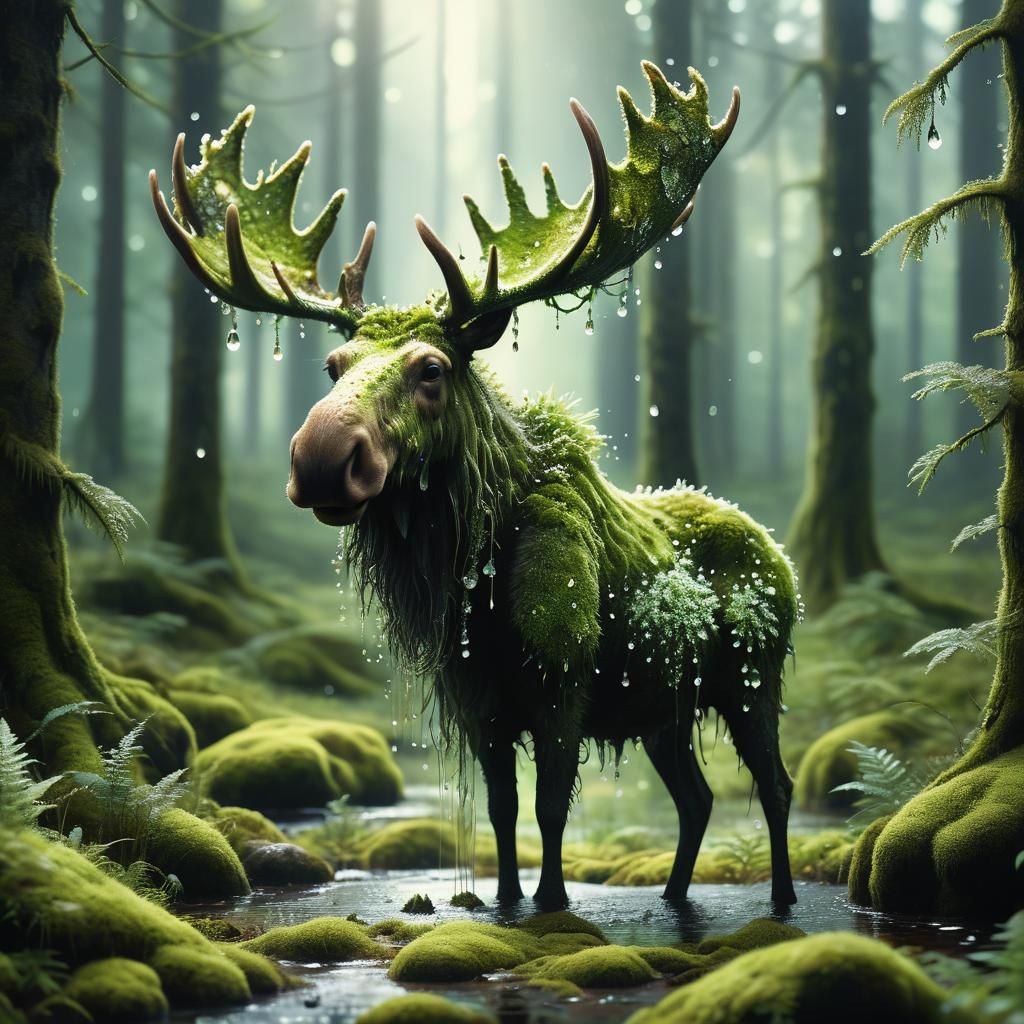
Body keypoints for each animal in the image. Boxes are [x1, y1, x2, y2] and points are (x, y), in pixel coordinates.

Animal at [150, 61, 799, 909]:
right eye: (332, 365)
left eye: (432, 369)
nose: (320, 457)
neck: (473, 579)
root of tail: (778, 553)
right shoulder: (476, 695)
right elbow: (500, 810)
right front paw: (507, 900)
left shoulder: (562, 678)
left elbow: (550, 807)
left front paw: (552, 900)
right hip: (664, 705)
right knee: (696, 797)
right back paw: (672, 893)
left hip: (752, 677)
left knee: (775, 785)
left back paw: (782, 896)